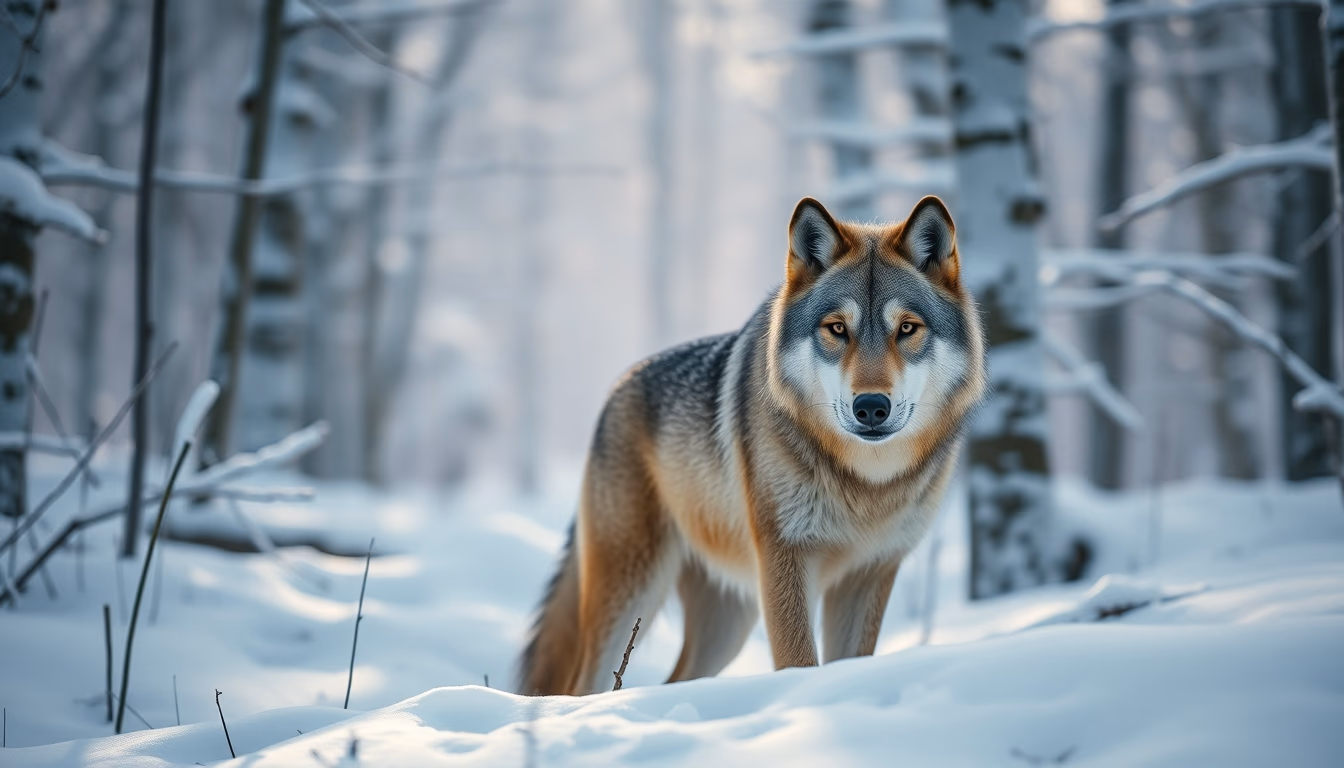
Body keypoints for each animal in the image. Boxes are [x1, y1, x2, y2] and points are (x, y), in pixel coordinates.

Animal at [517, 195, 987, 695]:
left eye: (907, 328)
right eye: (837, 329)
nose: (872, 407)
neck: (864, 482)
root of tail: (615, 391)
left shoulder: (870, 572)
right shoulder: (785, 558)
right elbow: (798, 662)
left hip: (727, 625)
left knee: (674, 680)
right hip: (630, 592)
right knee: (579, 686)